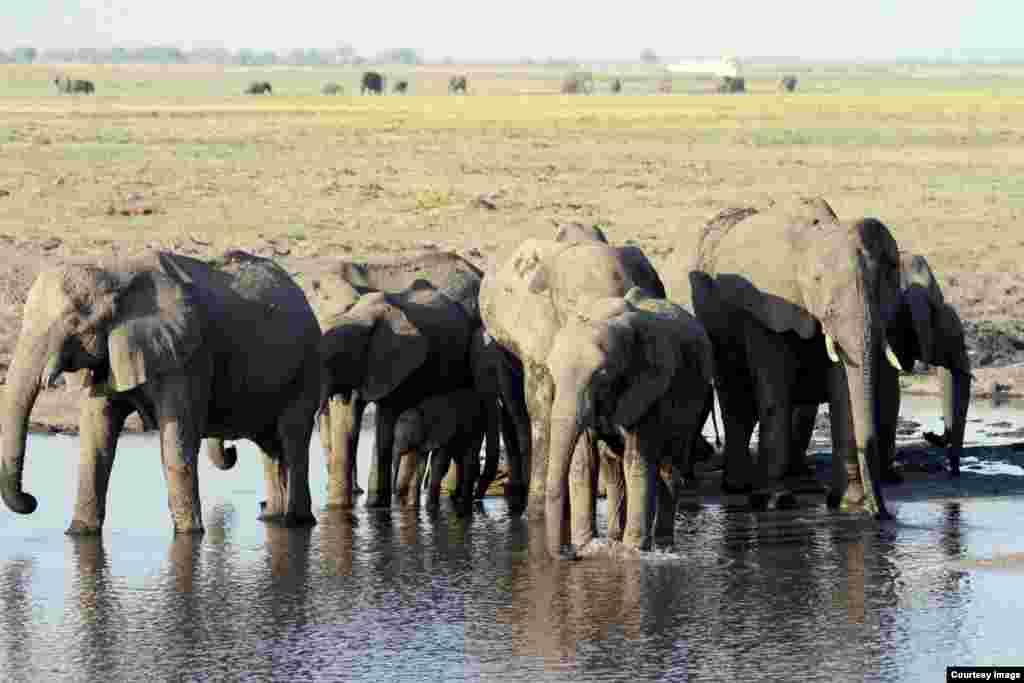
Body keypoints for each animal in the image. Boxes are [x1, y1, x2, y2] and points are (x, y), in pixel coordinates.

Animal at [0, 250, 321, 534]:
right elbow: (96, 435)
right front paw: (78, 533)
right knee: (271, 447)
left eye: (73, 322)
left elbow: (177, 440)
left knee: (293, 438)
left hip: (306, 366)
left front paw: (190, 535)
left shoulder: (187, 355)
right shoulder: (112, 353)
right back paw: (272, 518)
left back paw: (295, 522)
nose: (32, 500)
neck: (116, 273)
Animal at [479, 238, 669, 517]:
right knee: (517, 406)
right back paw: (518, 496)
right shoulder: (540, 328)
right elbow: (542, 404)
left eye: (624, 293)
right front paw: (538, 513)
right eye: (569, 302)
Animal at [543, 290, 715, 558]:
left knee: (670, 463)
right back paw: (614, 538)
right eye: (551, 373)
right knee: (612, 467)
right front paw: (589, 547)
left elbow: (637, 461)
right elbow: (585, 462)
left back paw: (663, 546)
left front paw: (632, 552)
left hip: (693, 397)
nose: (566, 553)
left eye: (601, 375)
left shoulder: (651, 388)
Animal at [687, 203, 905, 516]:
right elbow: (774, 391)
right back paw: (739, 487)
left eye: (879, 284)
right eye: (817, 280)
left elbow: (843, 391)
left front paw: (850, 505)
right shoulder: (766, 308)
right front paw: (775, 501)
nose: (882, 514)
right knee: (735, 396)